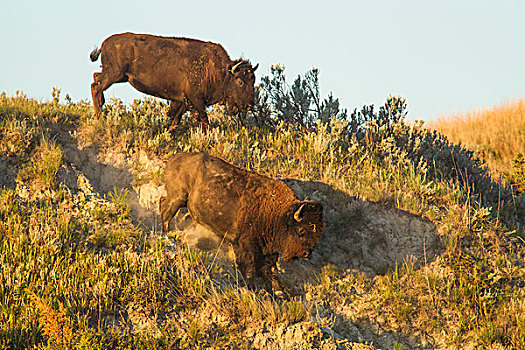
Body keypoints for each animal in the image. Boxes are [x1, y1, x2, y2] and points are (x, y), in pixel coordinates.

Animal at [90, 32, 258, 128]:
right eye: (240, 82)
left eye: (253, 81)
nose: (249, 105)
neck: (222, 72)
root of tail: (105, 44)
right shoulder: (195, 101)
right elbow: (203, 121)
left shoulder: (182, 101)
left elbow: (175, 119)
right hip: (115, 74)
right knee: (96, 86)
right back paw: (99, 116)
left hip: (120, 76)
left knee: (95, 77)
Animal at [160, 152, 324, 294]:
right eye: (301, 230)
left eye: (317, 236)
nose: (305, 253)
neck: (278, 214)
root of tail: (174, 158)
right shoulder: (245, 245)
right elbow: (250, 267)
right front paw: (252, 288)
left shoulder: (269, 250)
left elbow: (271, 270)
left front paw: (279, 292)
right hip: (178, 197)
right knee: (167, 212)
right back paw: (167, 234)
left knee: (163, 203)